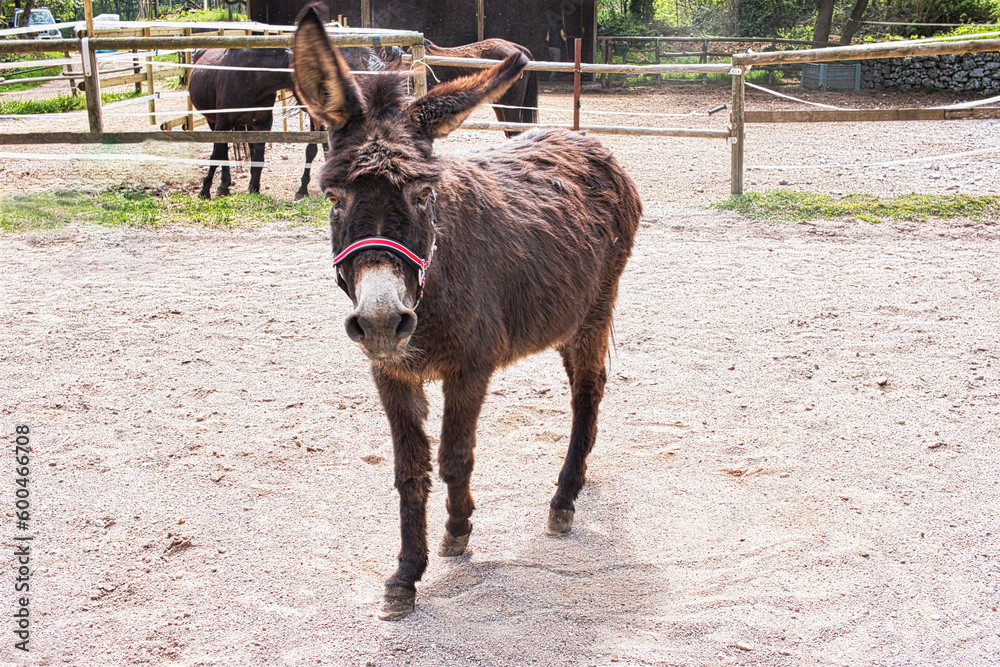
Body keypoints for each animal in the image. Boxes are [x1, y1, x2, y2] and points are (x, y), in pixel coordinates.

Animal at [187, 47, 382, 199]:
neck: (250, 78)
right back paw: (223, 185)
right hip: (213, 121)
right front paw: (205, 190)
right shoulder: (222, 123)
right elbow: (216, 154)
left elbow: (259, 156)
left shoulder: (263, 124)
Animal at [291, 9, 641, 621]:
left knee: (588, 390)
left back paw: (564, 498)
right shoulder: (389, 372)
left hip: (597, 307)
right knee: (587, 386)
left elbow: (455, 456)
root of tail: (583, 137)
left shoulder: (470, 367)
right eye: (334, 198)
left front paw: (456, 531)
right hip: (565, 315)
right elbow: (410, 470)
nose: (381, 320)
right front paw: (406, 574)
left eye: (422, 195)